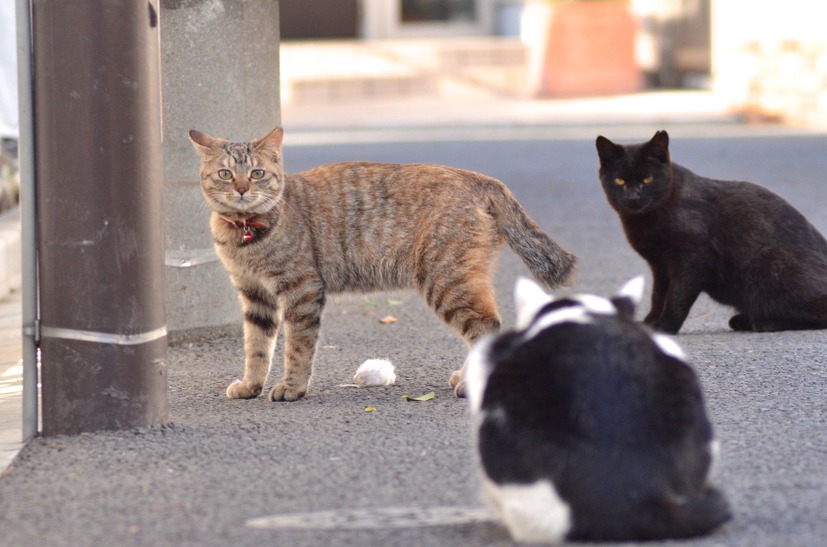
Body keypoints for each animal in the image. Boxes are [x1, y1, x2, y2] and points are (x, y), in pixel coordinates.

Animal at [188, 128, 576, 402]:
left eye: (256, 173)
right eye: (225, 174)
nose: (241, 189)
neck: (245, 236)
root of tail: (477, 177)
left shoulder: (301, 290)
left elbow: (297, 348)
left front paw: (292, 387)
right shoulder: (255, 296)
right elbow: (256, 348)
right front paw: (250, 385)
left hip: (446, 282)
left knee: (487, 325)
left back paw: (469, 383)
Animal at [596, 130, 827, 334]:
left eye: (647, 180)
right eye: (620, 181)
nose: (633, 197)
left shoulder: (692, 259)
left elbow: (676, 297)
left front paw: (665, 327)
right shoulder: (660, 265)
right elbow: (658, 295)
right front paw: (650, 322)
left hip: (774, 265)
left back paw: (766, 322)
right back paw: (744, 320)